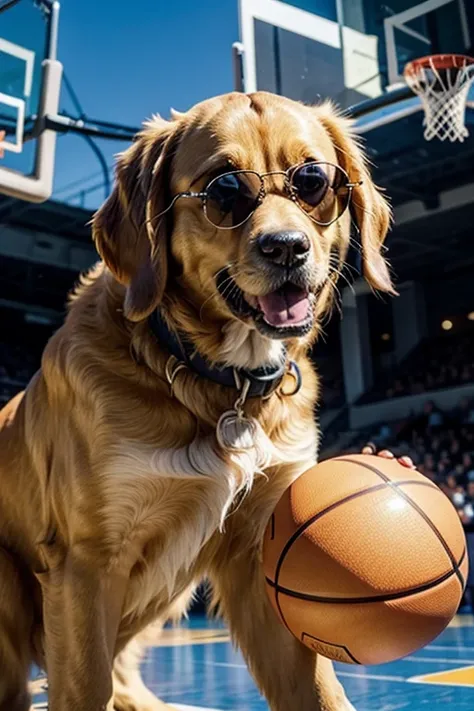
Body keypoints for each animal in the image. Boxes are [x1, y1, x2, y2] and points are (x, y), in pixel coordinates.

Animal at [0, 90, 392, 711]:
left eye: (314, 181)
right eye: (224, 189)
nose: (287, 248)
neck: (221, 383)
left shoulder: (262, 554)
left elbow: (319, 691)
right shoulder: (86, 562)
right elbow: (86, 684)